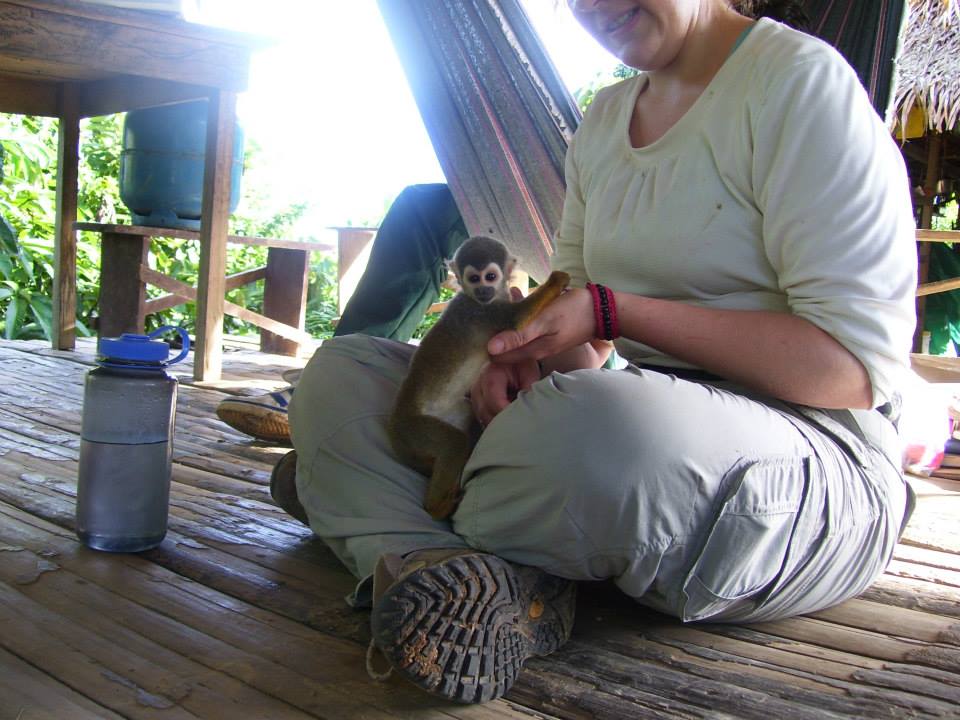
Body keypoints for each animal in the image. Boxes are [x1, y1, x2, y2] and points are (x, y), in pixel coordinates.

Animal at [388, 236, 570, 520]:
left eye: (490, 277)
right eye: (474, 279)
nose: (483, 291)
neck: (484, 300)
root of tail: (394, 427)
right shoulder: (476, 312)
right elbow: (514, 320)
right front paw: (556, 280)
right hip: (414, 430)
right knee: (452, 443)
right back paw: (437, 507)